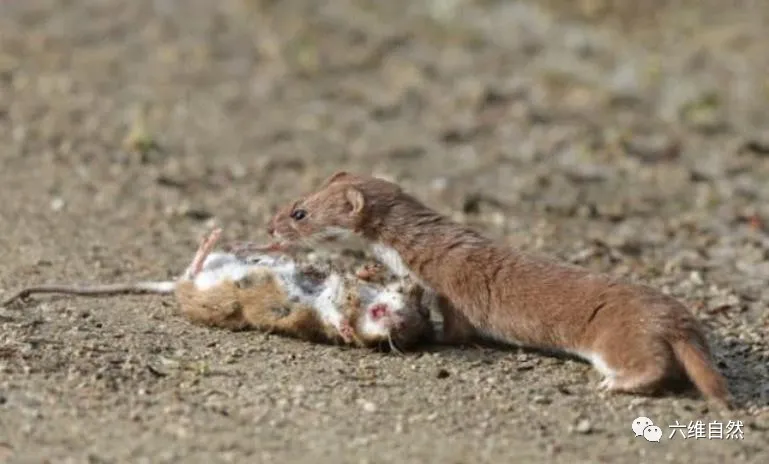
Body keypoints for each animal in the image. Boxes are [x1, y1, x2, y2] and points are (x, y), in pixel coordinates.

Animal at [1, 228, 432, 352]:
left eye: (402, 335)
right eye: (409, 305)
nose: (395, 319)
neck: (362, 305)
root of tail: (173, 287)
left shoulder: (319, 316)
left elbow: (335, 320)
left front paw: (346, 330)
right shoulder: (337, 296)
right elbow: (344, 282)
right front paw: (368, 269)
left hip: (207, 291)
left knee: (194, 271)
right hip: (213, 273)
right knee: (203, 261)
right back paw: (224, 237)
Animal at [262, 172, 732, 408]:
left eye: (299, 212)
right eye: (293, 199)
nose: (269, 226)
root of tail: (678, 320)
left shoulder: (451, 290)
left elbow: (456, 329)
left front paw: (434, 335)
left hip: (618, 335)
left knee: (648, 364)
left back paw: (614, 384)